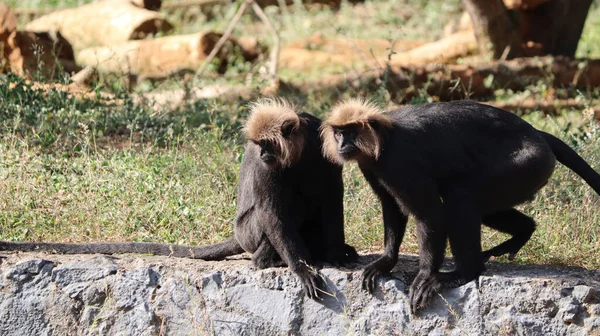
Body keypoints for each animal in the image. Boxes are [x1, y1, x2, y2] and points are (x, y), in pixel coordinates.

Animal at [1, 98, 356, 300]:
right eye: (260, 145)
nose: (265, 154)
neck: (298, 152)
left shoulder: (320, 143)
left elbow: (331, 196)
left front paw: (336, 254)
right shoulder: (264, 166)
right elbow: (272, 211)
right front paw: (302, 270)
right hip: (249, 232)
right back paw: (266, 259)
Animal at [322, 99, 600, 312]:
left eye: (351, 132)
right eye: (339, 133)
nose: (342, 144)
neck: (381, 136)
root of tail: (537, 133)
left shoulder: (396, 162)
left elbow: (430, 213)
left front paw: (425, 275)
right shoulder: (370, 165)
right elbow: (392, 207)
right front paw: (385, 262)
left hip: (527, 164)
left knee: (459, 197)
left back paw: (464, 272)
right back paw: (523, 232)